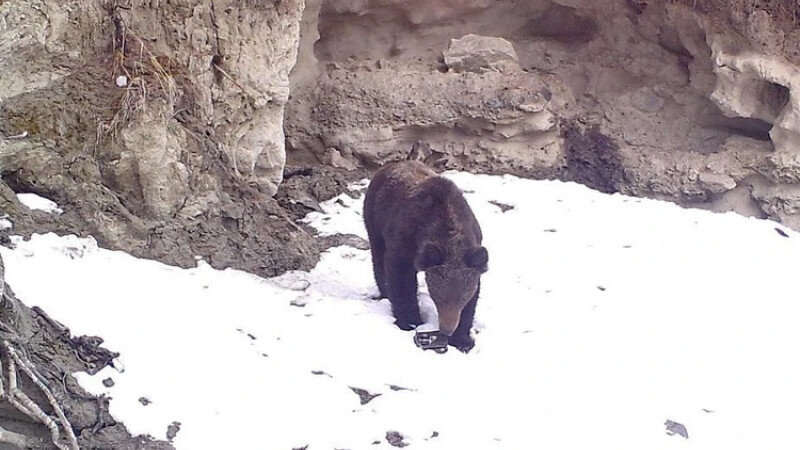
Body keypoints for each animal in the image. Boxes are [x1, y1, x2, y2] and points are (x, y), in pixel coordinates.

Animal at [362, 161, 488, 352]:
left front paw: (463, 339)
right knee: (378, 256)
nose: (447, 329)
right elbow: (401, 281)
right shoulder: (404, 242)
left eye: (463, 298)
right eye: (439, 297)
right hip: (374, 220)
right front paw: (410, 320)